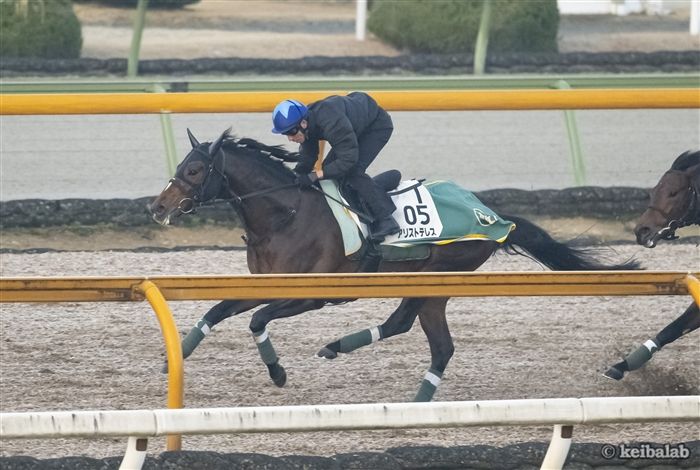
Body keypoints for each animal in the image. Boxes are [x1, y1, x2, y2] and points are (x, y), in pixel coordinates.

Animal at [149, 128, 640, 401]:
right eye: (182, 164)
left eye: (195, 170)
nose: (157, 207)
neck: (285, 213)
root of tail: (492, 215)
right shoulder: (266, 284)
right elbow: (215, 311)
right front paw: (175, 359)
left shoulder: (312, 295)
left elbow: (257, 322)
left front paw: (277, 371)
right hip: (429, 284)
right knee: (420, 334)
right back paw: (354, 358)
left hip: (438, 278)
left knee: (423, 335)